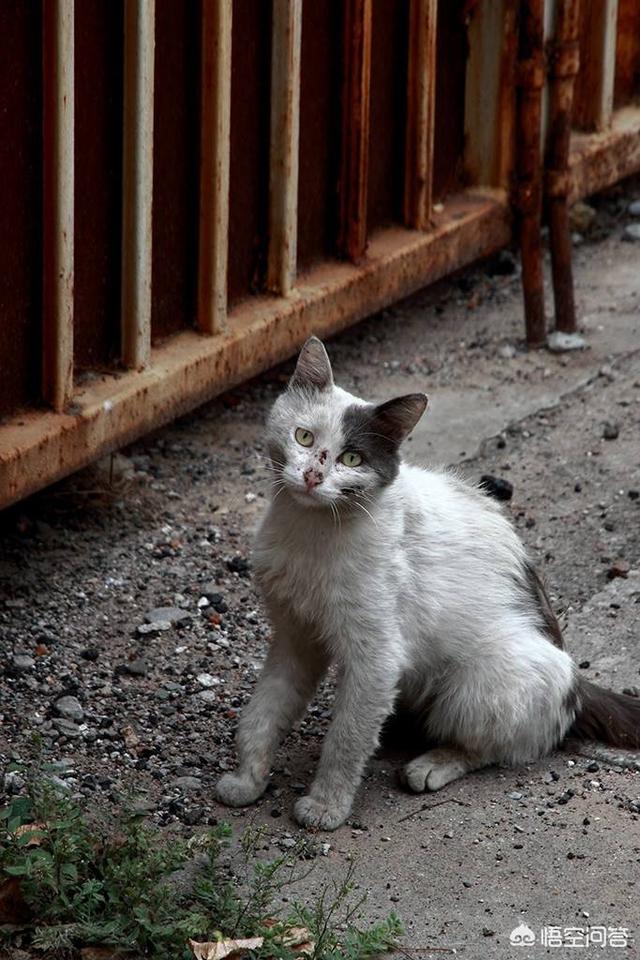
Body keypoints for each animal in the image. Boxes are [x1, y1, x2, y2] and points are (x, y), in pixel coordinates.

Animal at [215, 334, 640, 828]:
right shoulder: (294, 637)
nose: (312, 475)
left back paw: (431, 765)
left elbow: (346, 738)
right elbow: (263, 710)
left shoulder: (377, 659)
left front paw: (326, 807)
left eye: (352, 458)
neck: (311, 533)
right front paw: (246, 779)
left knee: (502, 745)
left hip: (485, 682)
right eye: (304, 437)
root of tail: (575, 681)